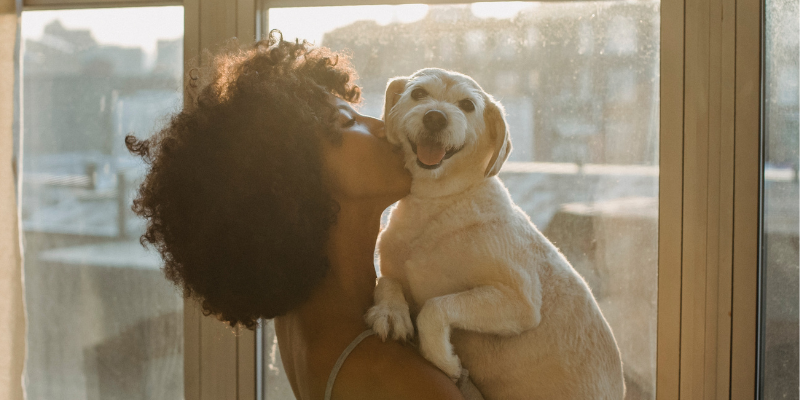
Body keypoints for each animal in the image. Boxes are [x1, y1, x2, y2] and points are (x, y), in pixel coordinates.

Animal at [366, 69, 628, 400]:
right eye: (418, 94)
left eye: (467, 105)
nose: (435, 117)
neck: (439, 203)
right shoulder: (392, 267)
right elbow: (387, 281)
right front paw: (391, 312)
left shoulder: (519, 301)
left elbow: (435, 307)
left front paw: (444, 360)